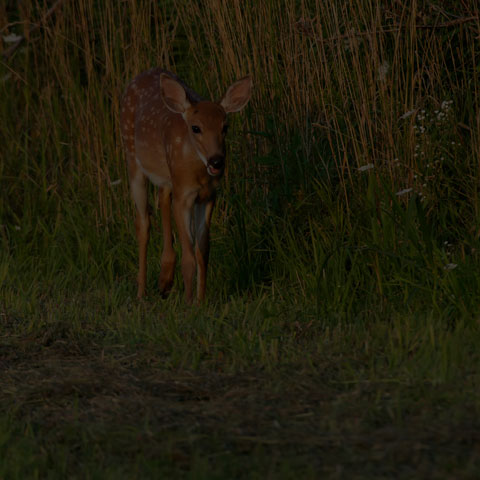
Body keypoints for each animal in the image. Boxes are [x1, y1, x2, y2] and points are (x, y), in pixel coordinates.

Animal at [120, 68, 253, 304]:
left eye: (225, 127)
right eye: (196, 128)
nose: (216, 161)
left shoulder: (208, 196)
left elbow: (203, 250)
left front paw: (201, 300)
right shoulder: (184, 196)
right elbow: (189, 255)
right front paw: (189, 302)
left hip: (167, 176)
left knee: (162, 198)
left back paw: (165, 279)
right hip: (132, 158)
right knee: (142, 223)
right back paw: (141, 292)